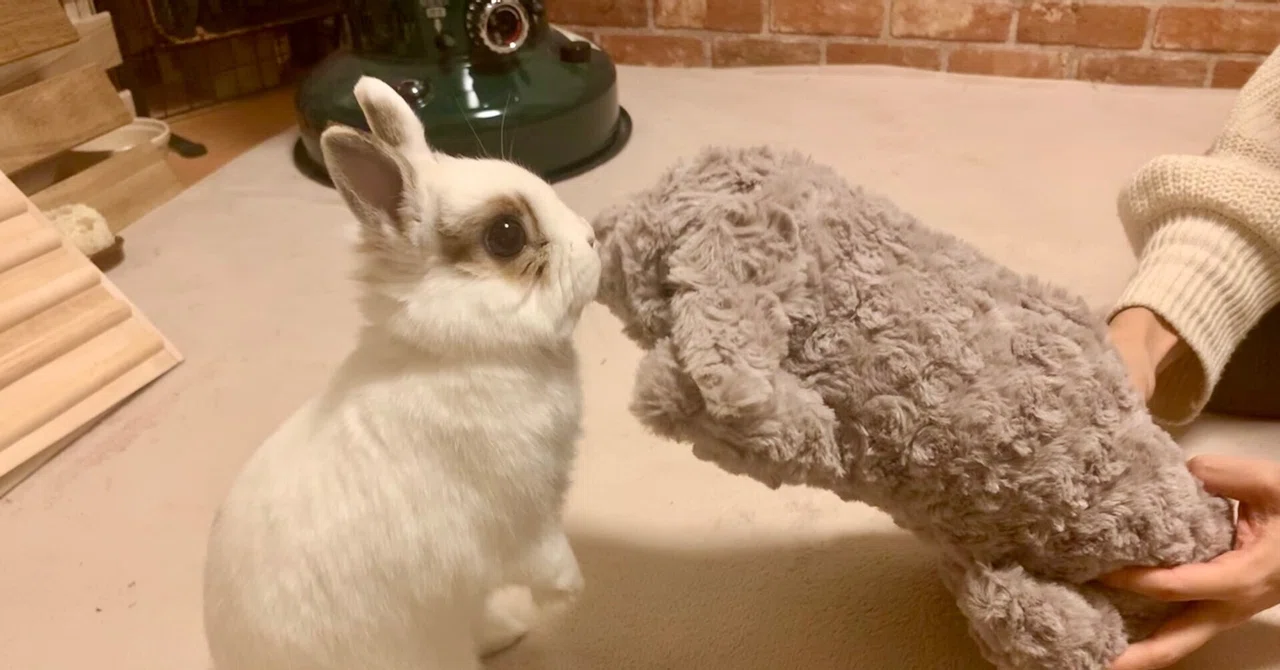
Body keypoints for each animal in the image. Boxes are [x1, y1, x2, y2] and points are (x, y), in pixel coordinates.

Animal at [201, 76, 601, 670]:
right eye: (506, 235)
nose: (593, 237)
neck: (457, 353)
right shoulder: (524, 524)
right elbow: (549, 562)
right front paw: (572, 592)